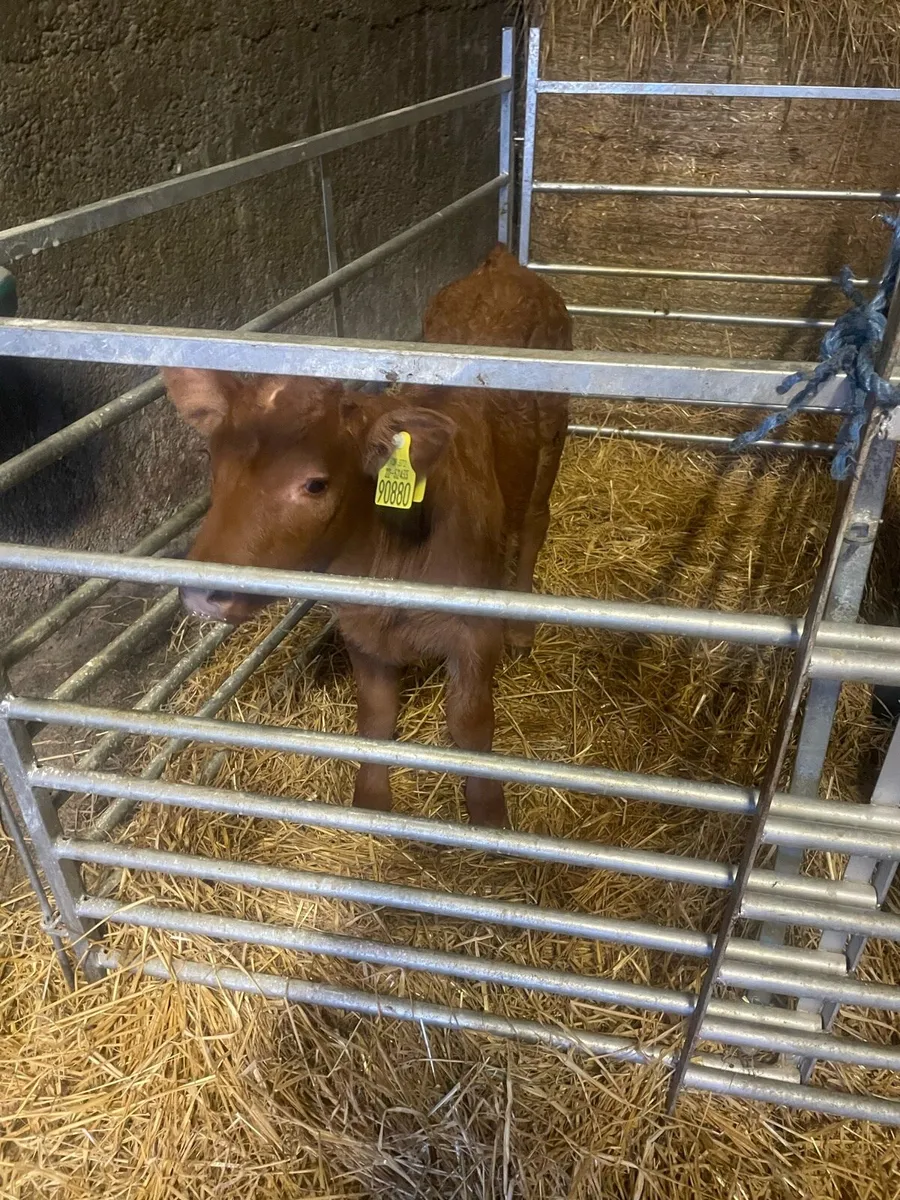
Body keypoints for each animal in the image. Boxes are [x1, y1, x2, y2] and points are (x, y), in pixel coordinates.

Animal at [163, 245, 573, 827]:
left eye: (315, 483)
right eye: (212, 465)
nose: (201, 591)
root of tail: (501, 265)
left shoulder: (473, 631)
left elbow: (471, 726)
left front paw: (490, 819)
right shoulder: (358, 627)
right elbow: (375, 718)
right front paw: (371, 806)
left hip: (554, 432)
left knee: (536, 521)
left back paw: (522, 625)